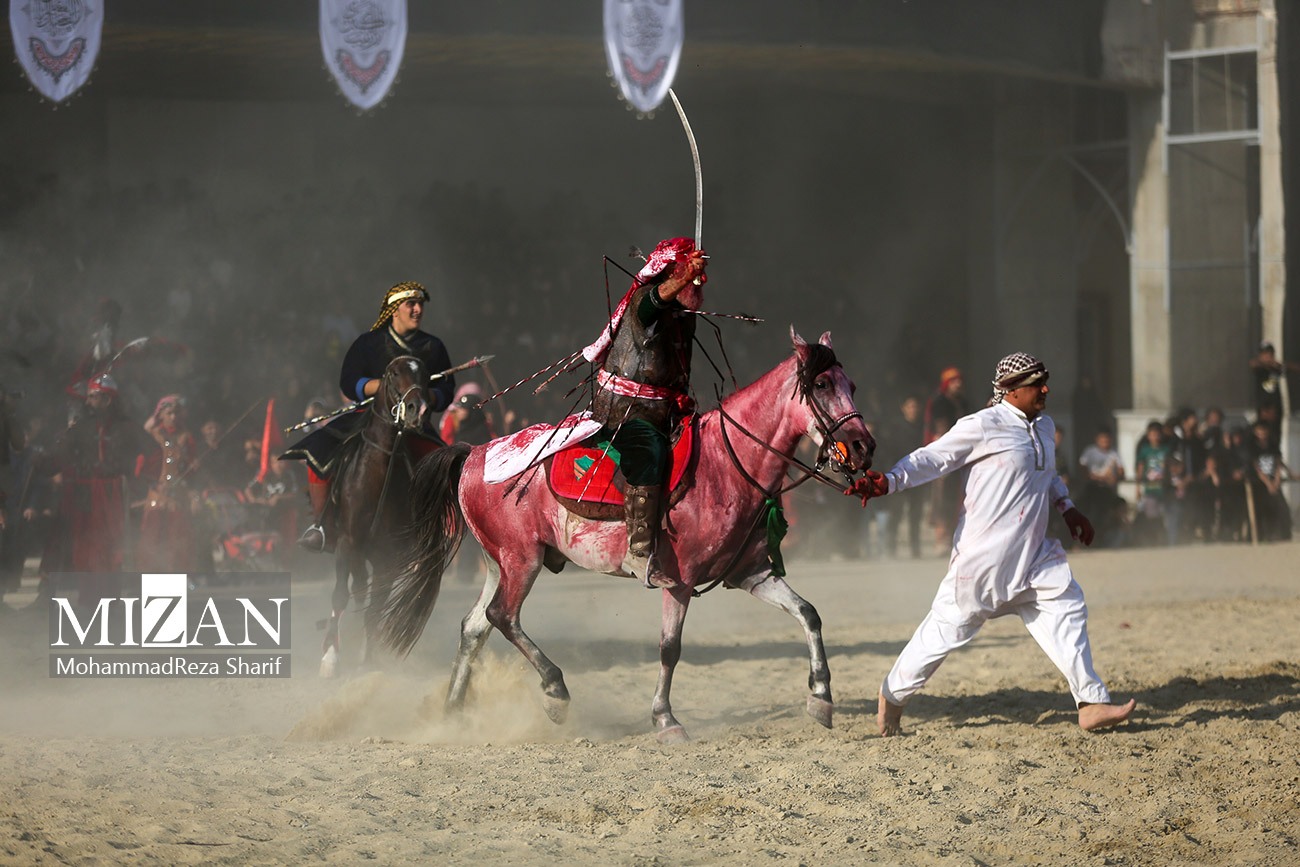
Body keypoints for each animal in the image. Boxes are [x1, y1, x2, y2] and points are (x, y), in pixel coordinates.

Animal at [319, 355, 433, 678]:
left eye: (425, 373)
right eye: (393, 373)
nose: (417, 410)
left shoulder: (388, 555)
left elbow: (376, 607)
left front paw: (368, 659)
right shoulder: (346, 543)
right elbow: (339, 595)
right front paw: (329, 657)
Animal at [378, 329, 874, 742]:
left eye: (851, 384)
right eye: (822, 386)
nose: (864, 446)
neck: (725, 465)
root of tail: (475, 453)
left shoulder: (751, 573)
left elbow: (808, 614)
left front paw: (821, 696)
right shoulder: (680, 582)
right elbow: (670, 649)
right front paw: (665, 718)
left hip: (498, 562)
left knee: (475, 627)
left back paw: (454, 712)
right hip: (522, 560)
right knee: (503, 617)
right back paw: (555, 690)